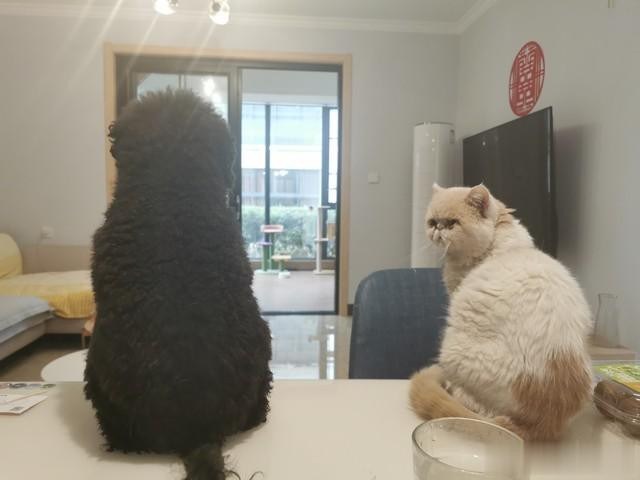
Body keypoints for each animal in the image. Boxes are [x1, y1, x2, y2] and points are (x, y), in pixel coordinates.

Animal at [409, 183, 593, 441]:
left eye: (452, 223)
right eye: (432, 221)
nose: (437, 229)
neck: (499, 242)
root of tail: (546, 420)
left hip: (454, 351)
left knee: (478, 405)